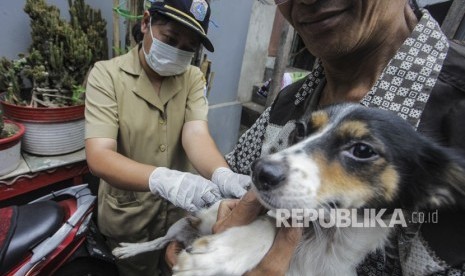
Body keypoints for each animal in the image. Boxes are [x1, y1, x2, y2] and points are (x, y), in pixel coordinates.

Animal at [111, 103, 464, 276]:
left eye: (363, 150)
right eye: (302, 129)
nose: (260, 172)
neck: (323, 238)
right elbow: (270, 221)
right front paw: (226, 252)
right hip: (182, 224)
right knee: (159, 240)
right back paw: (127, 249)